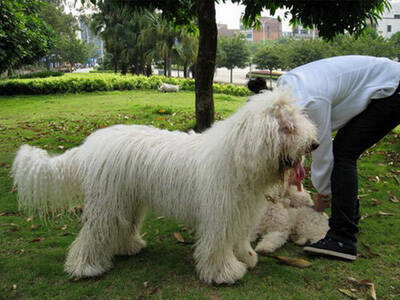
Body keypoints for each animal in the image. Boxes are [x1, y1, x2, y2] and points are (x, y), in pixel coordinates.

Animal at [13, 88, 318, 284]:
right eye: (288, 127)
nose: (314, 144)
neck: (237, 156)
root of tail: (91, 145)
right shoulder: (219, 214)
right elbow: (218, 244)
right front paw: (224, 273)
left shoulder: (240, 213)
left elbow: (239, 238)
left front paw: (246, 257)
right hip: (107, 203)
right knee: (93, 235)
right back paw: (86, 267)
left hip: (128, 200)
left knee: (123, 227)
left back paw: (129, 247)